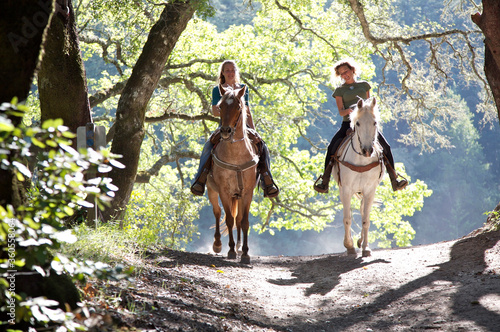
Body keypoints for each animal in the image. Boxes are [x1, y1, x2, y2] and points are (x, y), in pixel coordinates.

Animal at [206, 84, 258, 264]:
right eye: (220, 106)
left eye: (238, 107)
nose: (226, 131)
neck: (236, 157)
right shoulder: (224, 191)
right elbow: (228, 219)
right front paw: (230, 251)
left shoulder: (247, 193)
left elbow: (244, 222)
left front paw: (245, 253)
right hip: (211, 190)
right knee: (217, 212)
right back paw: (217, 244)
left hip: (239, 196)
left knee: (238, 219)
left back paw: (239, 246)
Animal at [334, 96, 384, 256]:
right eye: (358, 123)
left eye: (375, 122)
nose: (367, 150)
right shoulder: (345, 189)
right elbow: (347, 218)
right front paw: (349, 245)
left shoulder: (369, 190)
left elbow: (365, 220)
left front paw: (366, 248)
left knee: (362, 212)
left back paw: (361, 241)